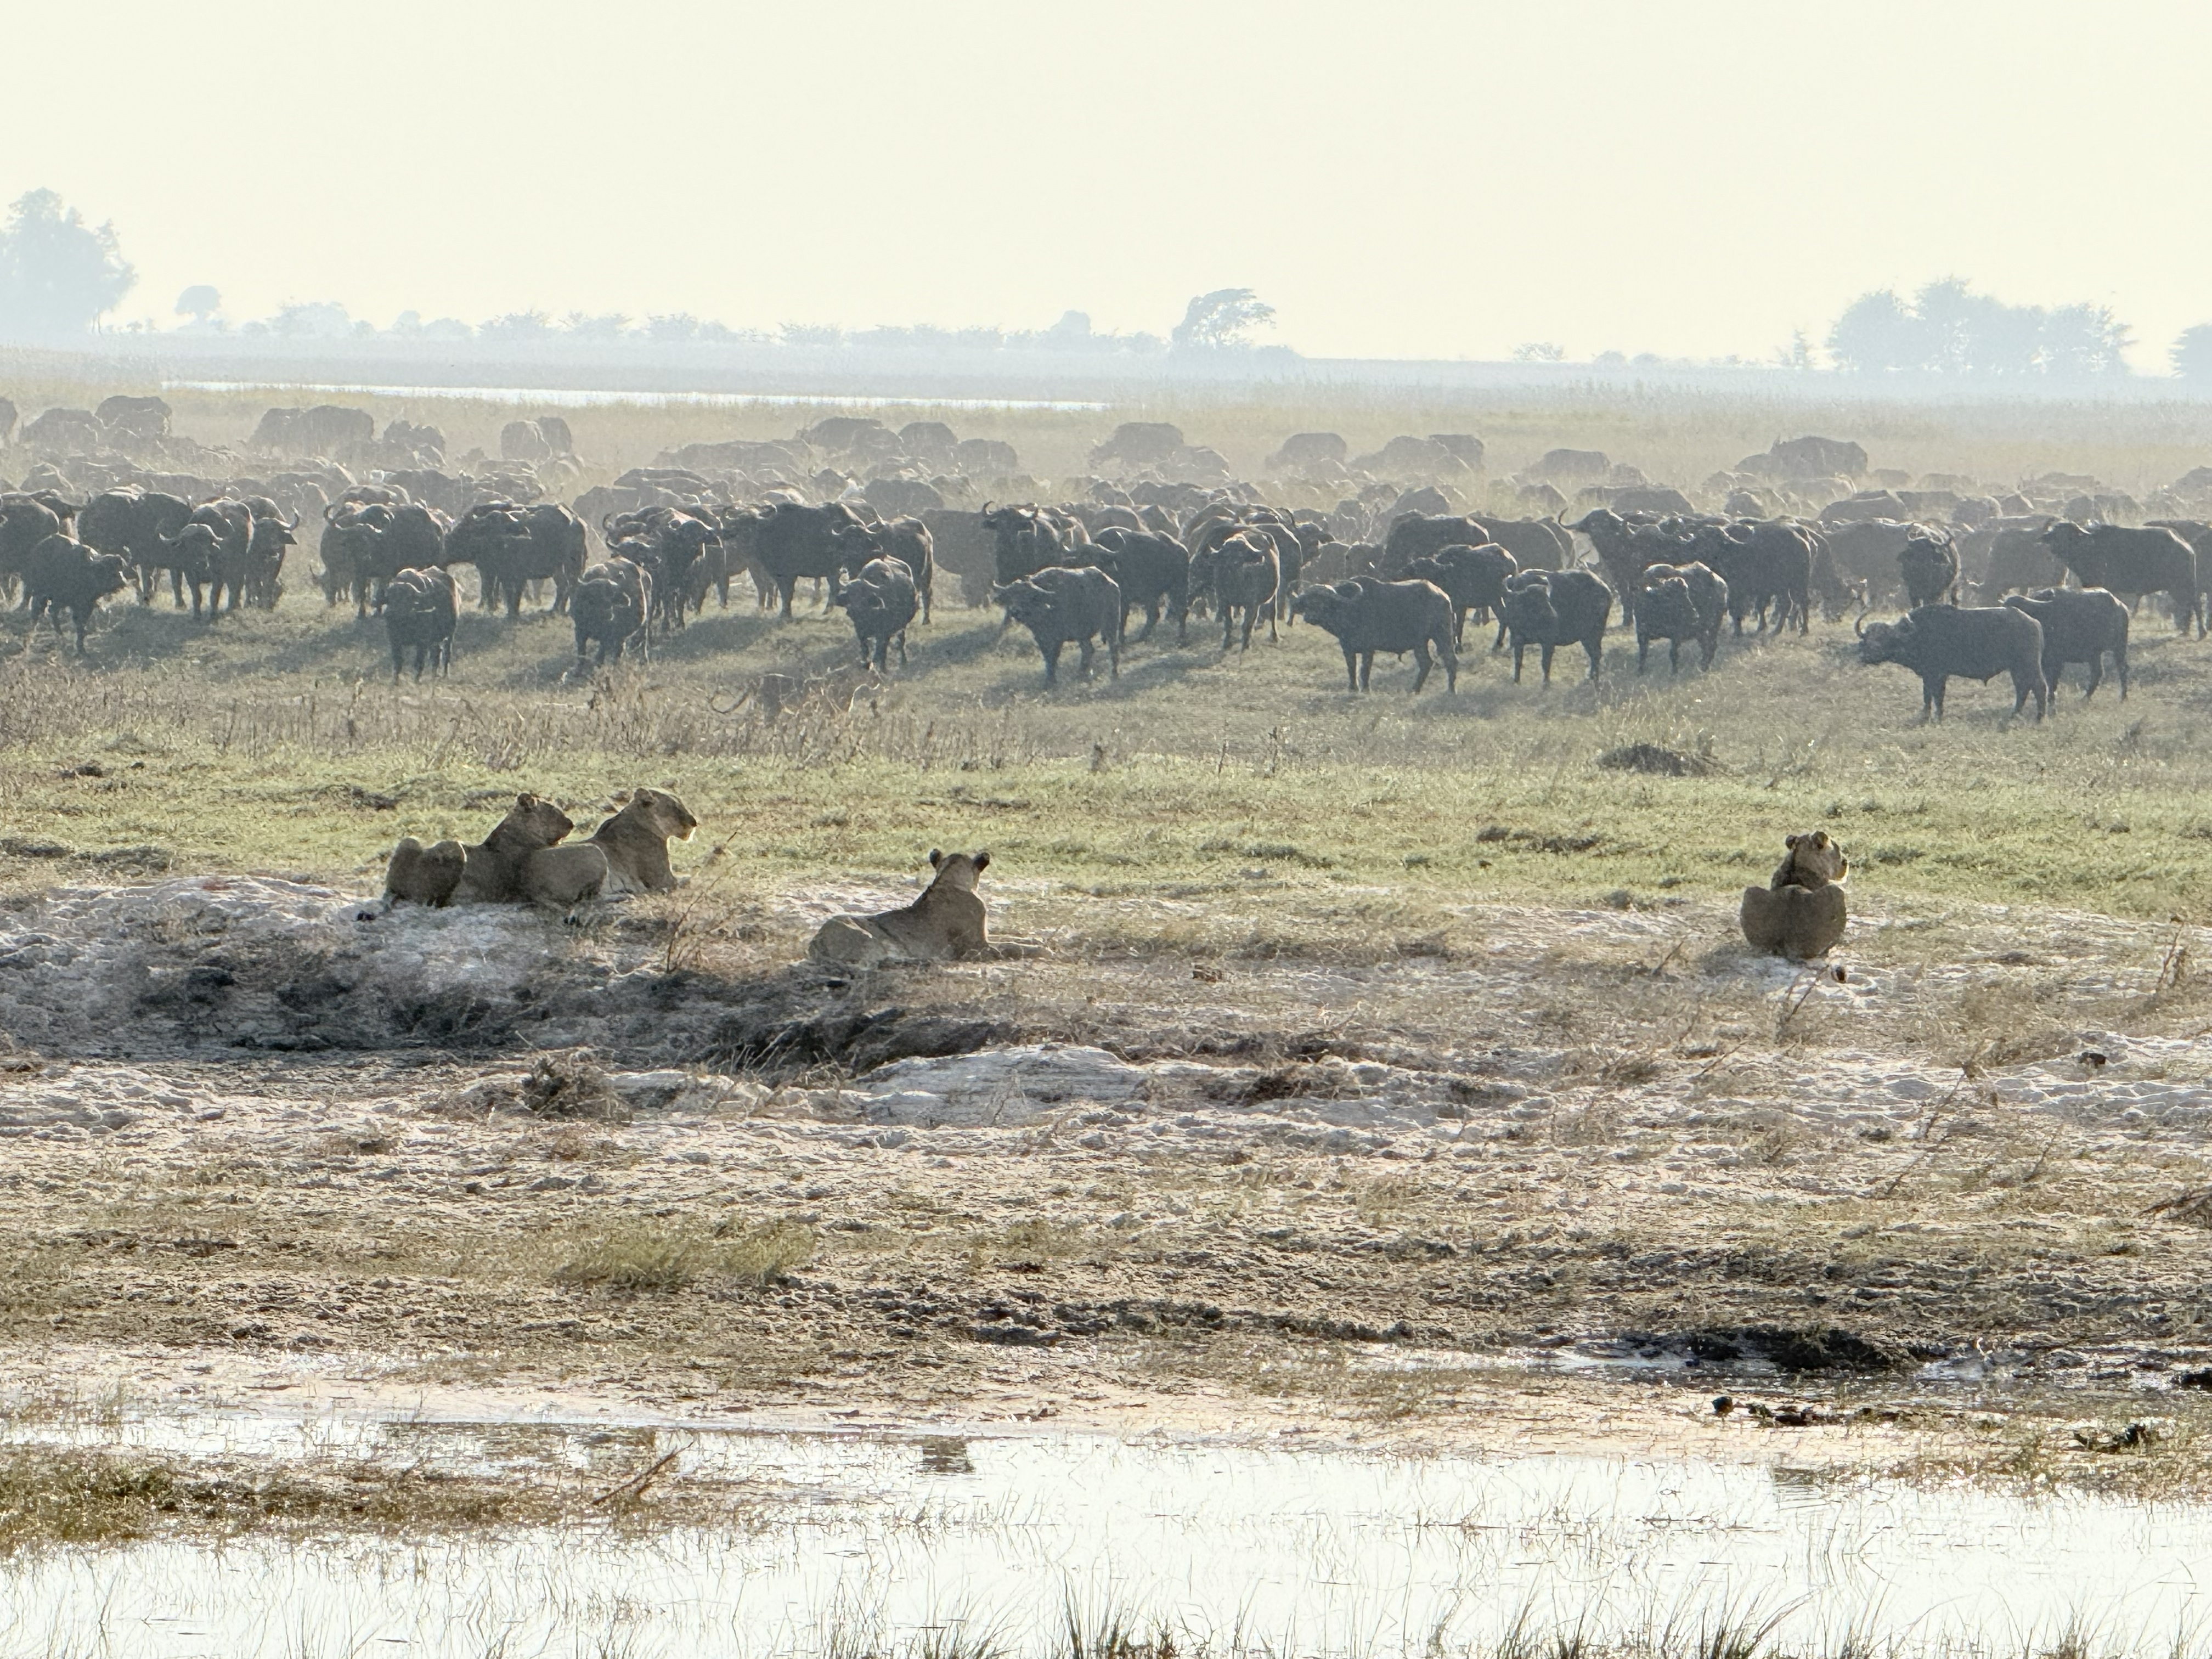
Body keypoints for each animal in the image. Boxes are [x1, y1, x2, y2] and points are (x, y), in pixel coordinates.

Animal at [807, 848, 1037, 968]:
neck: (947, 880)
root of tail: (816, 941)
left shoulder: (984, 939)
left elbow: (1013, 939)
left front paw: (1037, 941)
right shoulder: (976, 948)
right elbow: (1011, 947)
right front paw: (1040, 950)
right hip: (864, 934)